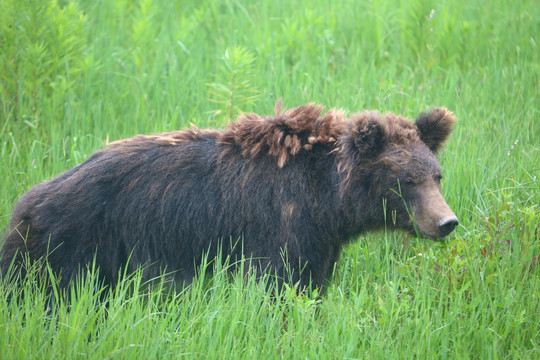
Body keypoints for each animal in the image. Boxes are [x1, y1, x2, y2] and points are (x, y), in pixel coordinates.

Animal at [0, 100, 458, 292]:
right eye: (406, 180)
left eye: (436, 176)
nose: (447, 222)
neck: (326, 203)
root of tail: (27, 201)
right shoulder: (278, 226)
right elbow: (278, 285)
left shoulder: (318, 240)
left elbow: (312, 280)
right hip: (71, 247)